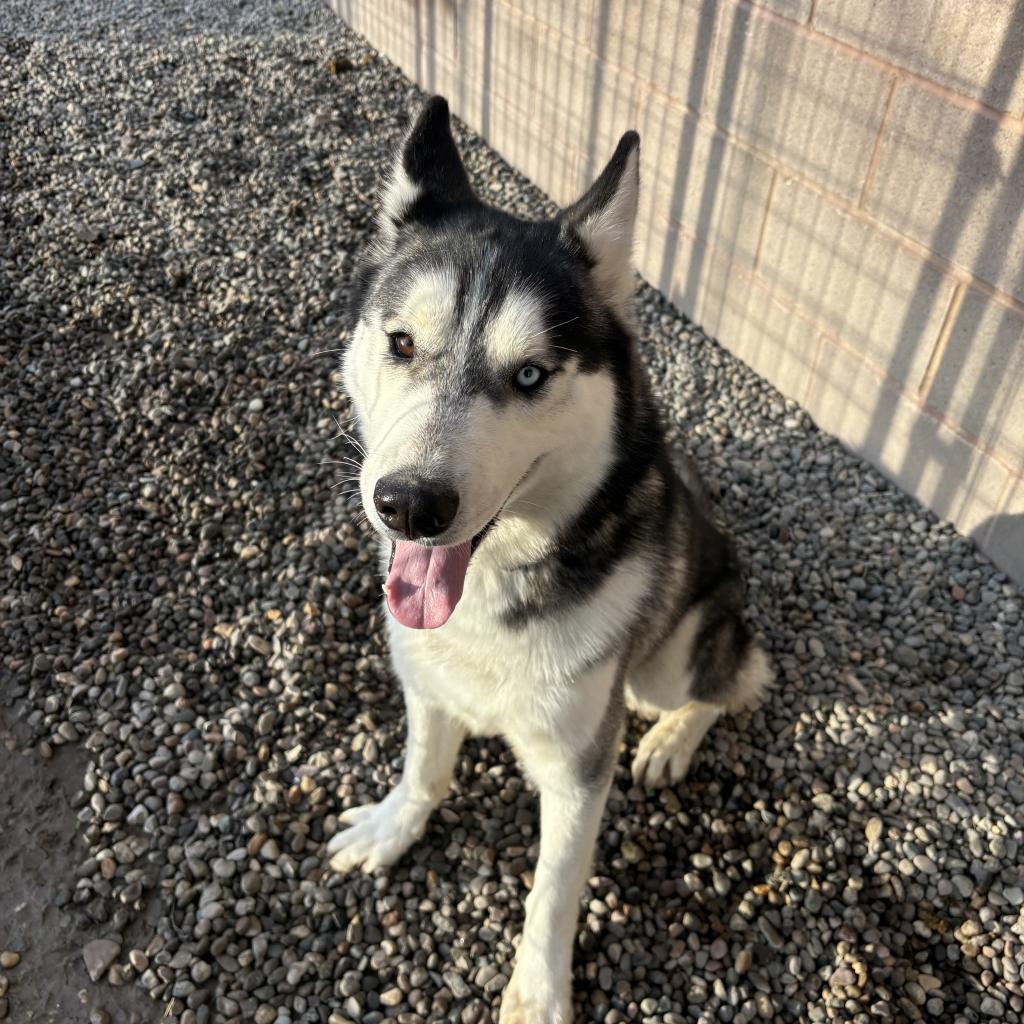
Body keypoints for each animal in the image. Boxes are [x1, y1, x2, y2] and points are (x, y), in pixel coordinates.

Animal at [331, 97, 770, 1024]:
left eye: (530, 375)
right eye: (402, 343)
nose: (410, 504)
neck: (495, 591)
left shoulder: (577, 769)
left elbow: (554, 890)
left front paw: (536, 991)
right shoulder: (427, 685)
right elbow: (424, 770)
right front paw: (394, 826)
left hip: (668, 662)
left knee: (739, 679)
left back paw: (673, 739)